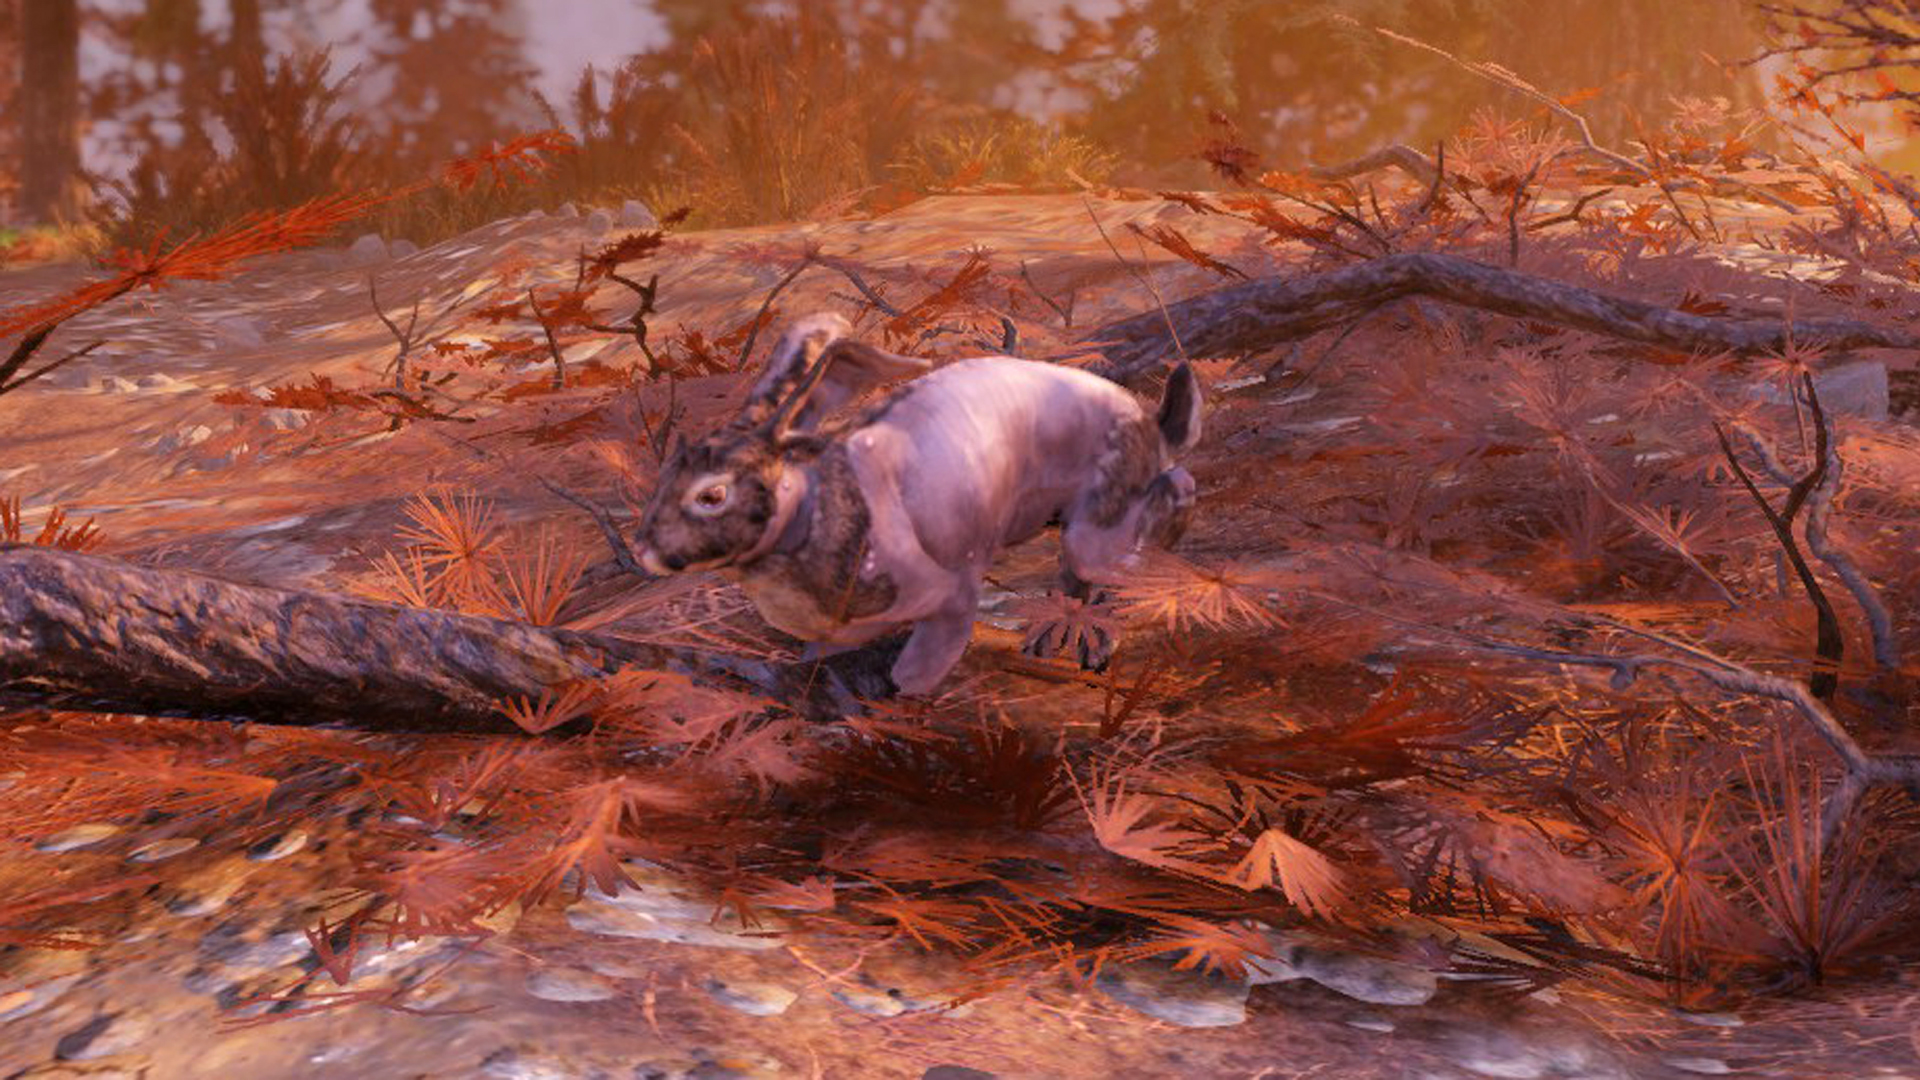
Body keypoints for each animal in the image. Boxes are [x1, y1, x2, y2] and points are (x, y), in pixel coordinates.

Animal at [633, 312, 1201, 696]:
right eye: (666, 473)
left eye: (712, 495)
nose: (642, 550)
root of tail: (1151, 425)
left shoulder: (950, 595)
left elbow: (918, 667)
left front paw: (904, 692)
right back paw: (1044, 638)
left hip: (1100, 525)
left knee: (1162, 505)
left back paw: (1094, 641)